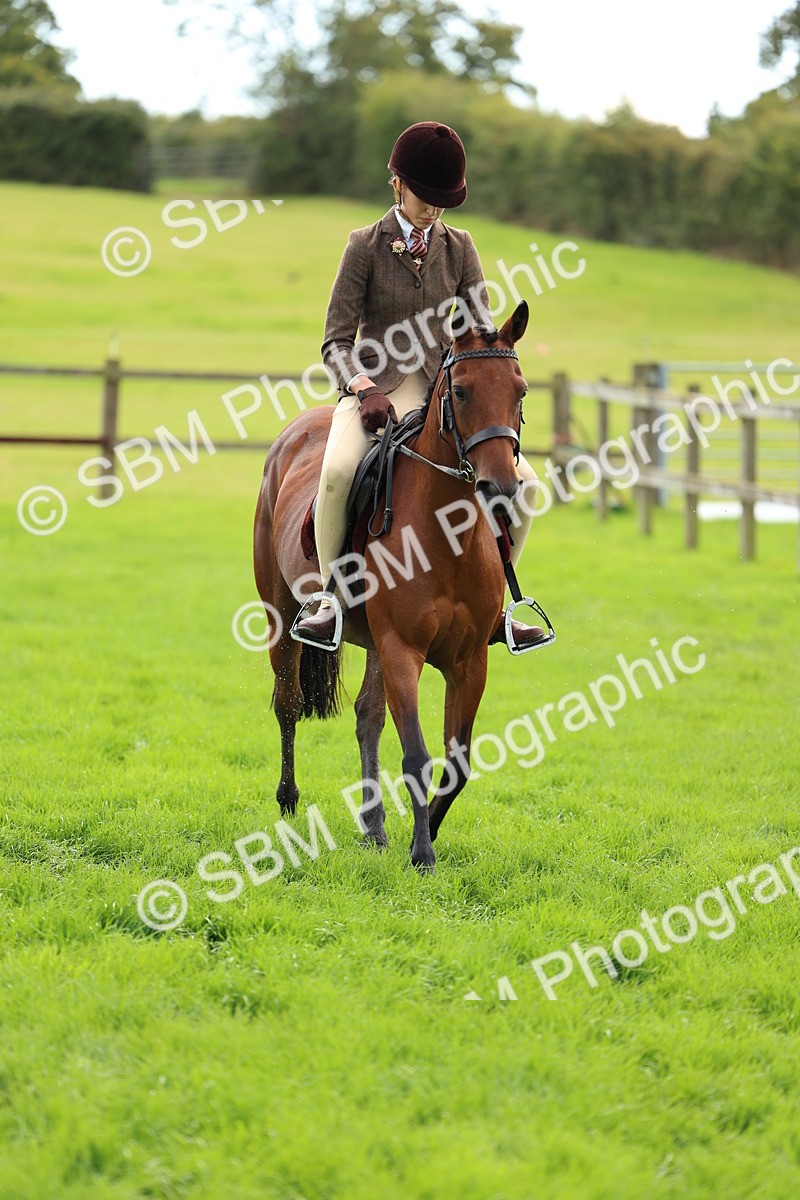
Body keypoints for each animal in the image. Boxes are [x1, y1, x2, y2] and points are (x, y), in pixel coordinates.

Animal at [254, 299, 534, 871]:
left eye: (519, 391)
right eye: (461, 391)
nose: (500, 487)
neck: (446, 534)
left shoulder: (469, 659)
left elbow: (457, 762)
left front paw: (427, 833)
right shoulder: (403, 648)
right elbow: (418, 756)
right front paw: (422, 853)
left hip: (375, 643)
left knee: (367, 717)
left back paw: (374, 828)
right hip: (281, 615)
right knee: (289, 703)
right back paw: (290, 802)